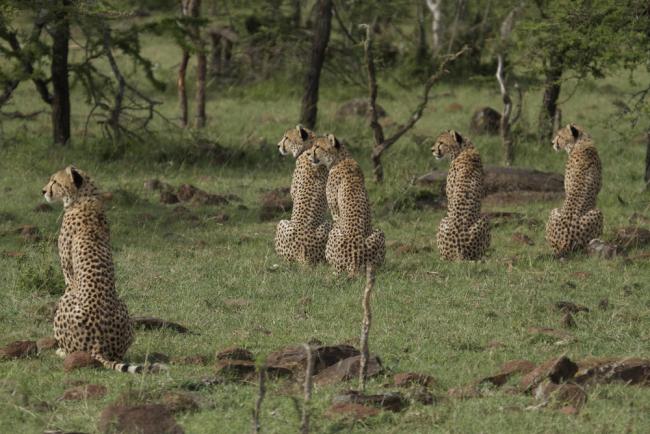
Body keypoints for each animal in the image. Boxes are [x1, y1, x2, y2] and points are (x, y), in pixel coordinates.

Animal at [43, 166, 157, 372]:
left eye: (54, 181)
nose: (43, 191)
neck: (85, 197)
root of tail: (99, 344)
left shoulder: (68, 276)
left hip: (65, 300)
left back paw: (61, 351)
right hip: (123, 306)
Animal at [304, 134, 384, 276]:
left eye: (317, 146)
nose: (308, 154)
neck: (341, 158)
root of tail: (355, 261)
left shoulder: (335, 212)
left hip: (333, 235)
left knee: (336, 268)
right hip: (379, 233)